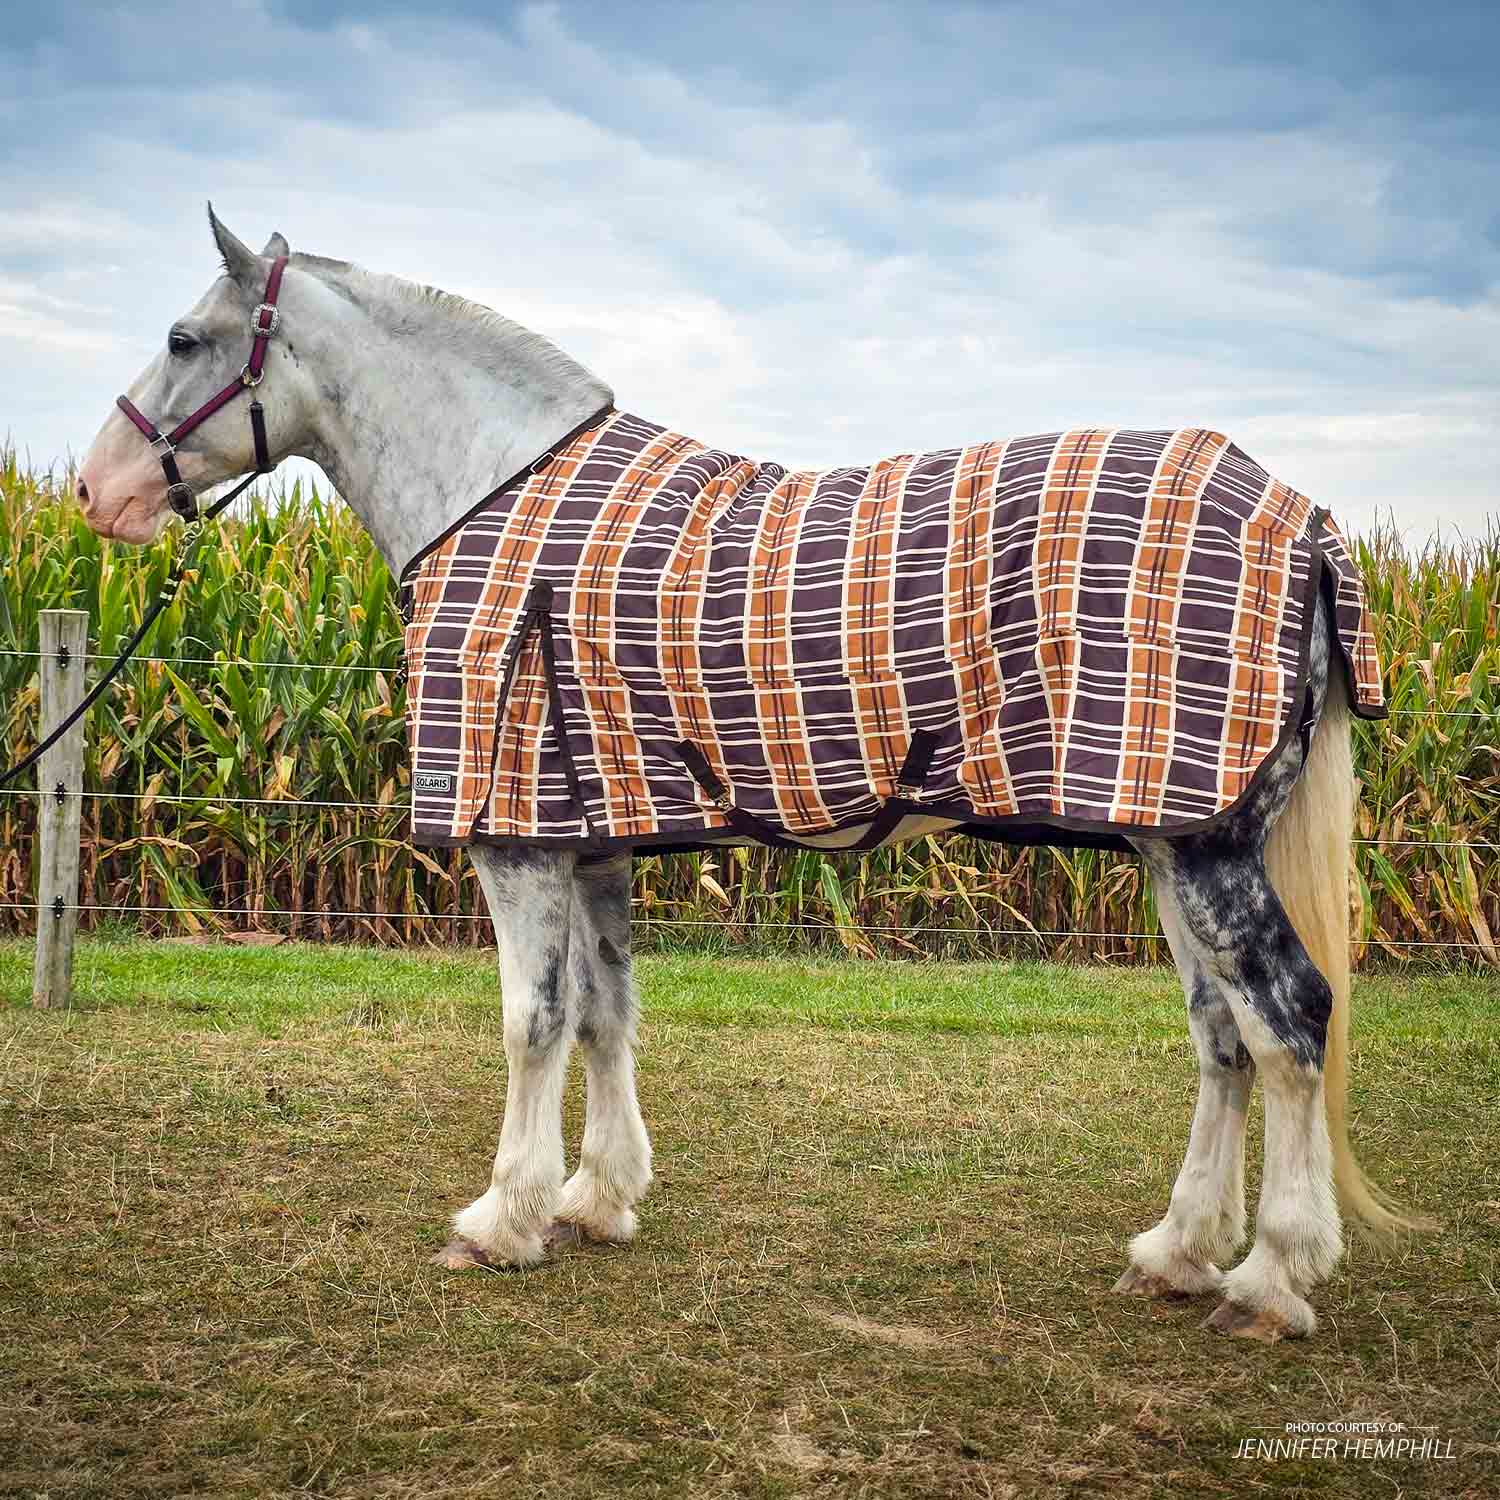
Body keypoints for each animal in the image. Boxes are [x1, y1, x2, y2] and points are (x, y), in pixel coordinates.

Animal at [75, 208, 1422, 1343]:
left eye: (184, 338)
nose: (96, 489)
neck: (496, 496)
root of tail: (1302, 521)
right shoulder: (598, 834)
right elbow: (607, 1012)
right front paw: (598, 1199)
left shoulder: (517, 839)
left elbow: (532, 1021)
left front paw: (502, 1220)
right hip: (1165, 833)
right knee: (1224, 1036)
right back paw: (1179, 1251)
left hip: (1203, 847)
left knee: (1290, 1021)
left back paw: (1271, 1279)